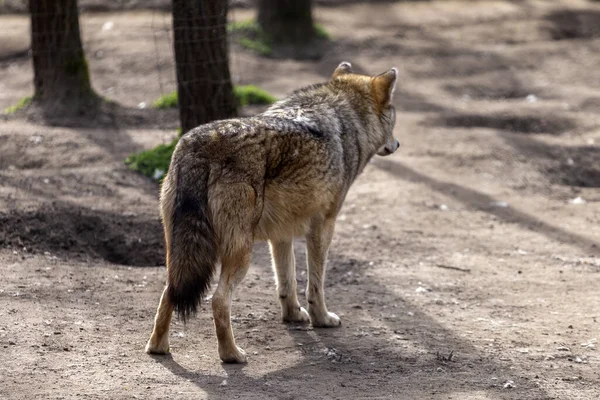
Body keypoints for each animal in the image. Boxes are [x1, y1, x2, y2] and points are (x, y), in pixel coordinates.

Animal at [145, 61, 398, 362]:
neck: (342, 117)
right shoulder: (324, 227)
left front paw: (293, 316)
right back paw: (232, 354)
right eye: (395, 117)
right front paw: (322, 319)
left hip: (181, 256)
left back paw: (158, 348)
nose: (397, 145)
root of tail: (195, 146)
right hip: (241, 254)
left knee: (168, 293)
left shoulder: (281, 236)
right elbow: (315, 285)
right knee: (218, 300)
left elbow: (286, 283)